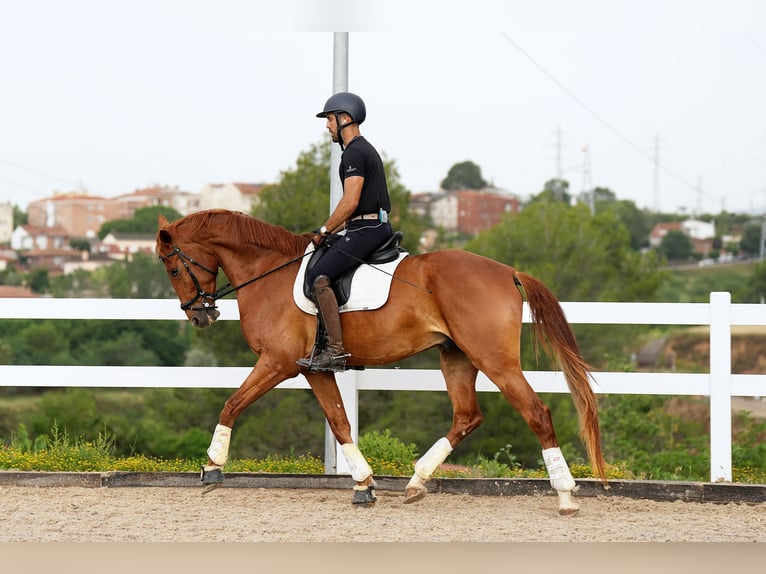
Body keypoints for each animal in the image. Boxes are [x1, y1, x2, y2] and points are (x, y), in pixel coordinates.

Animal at [156, 209, 608, 516]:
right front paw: (363, 484)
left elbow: (232, 403)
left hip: (493, 359)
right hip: (456, 356)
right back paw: (417, 481)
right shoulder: (312, 368)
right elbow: (340, 423)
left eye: (174, 267)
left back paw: (565, 495)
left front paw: (212, 467)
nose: (199, 317)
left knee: (536, 412)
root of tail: (507, 271)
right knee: (467, 416)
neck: (269, 273)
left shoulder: (278, 362)